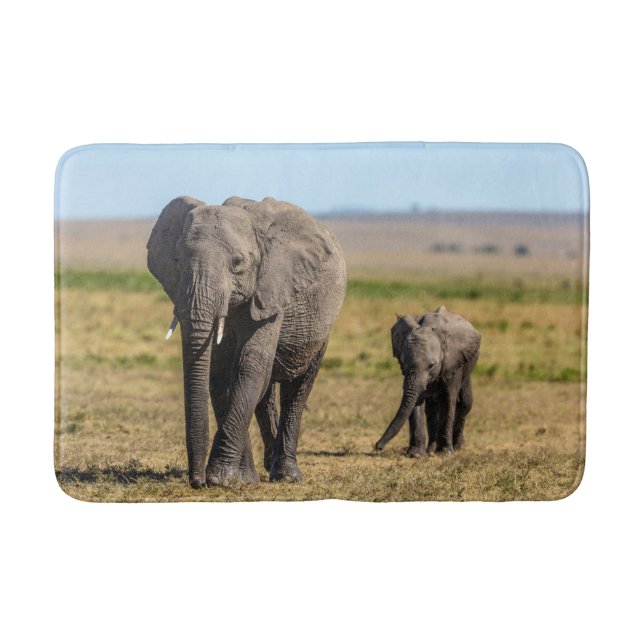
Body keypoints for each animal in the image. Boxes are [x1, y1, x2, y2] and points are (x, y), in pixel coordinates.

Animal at [147, 195, 346, 488]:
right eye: (177, 259)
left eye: (237, 262)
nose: (196, 481)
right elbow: (220, 373)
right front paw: (242, 480)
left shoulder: (271, 290)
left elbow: (249, 366)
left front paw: (221, 479)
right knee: (266, 393)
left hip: (322, 324)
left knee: (297, 388)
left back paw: (286, 475)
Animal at [375, 306, 480, 456]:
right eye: (403, 363)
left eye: (431, 365)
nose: (377, 447)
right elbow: (417, 401)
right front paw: (416, 455)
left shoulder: (452, 361)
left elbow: (449, 398)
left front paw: (445, 453)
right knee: (432, 408)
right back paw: (431, 450)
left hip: (468, 361)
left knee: (465, 403)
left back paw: (457, 447)